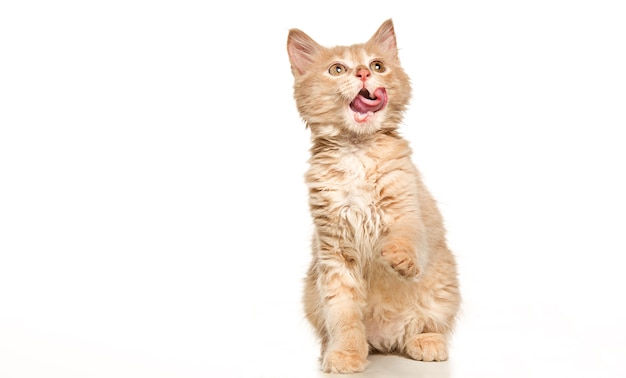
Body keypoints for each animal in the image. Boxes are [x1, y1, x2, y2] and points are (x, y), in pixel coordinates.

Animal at [286, 19, 458, 374]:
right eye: (337, 69)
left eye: (378, 65)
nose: (364, 73)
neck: (357, 151)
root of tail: (386, 338)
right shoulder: (333, 253)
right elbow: (343, 315)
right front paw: (346, 354)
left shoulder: (408, 207)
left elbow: (407, 237)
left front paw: (398, 257)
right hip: (311, 296)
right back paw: (331, 349)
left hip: (444, 288)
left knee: (428, 325)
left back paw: (427, 342)